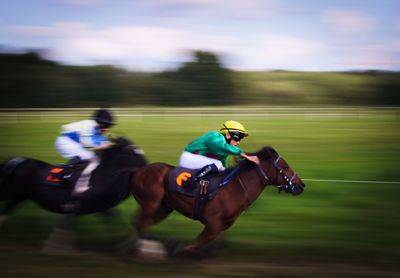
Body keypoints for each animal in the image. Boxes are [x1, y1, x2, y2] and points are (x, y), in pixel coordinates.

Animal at [0, 138, 147, 218]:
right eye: (131, 152)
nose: (146, 165)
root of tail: (13, 161)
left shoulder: (98, 207)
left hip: (20, 196)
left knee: (7, 210)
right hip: (11, 192)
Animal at [130, 147, 304, 258]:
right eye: (285, 167)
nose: (301, 185)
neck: (235, 188)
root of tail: (138, 171)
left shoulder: (222, 224)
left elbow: (217, 243)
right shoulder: (213, 223)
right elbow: (197, 242)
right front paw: (179, 248)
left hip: (164, 207)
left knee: (141, 223)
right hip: (151, 203)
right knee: (140, 222)